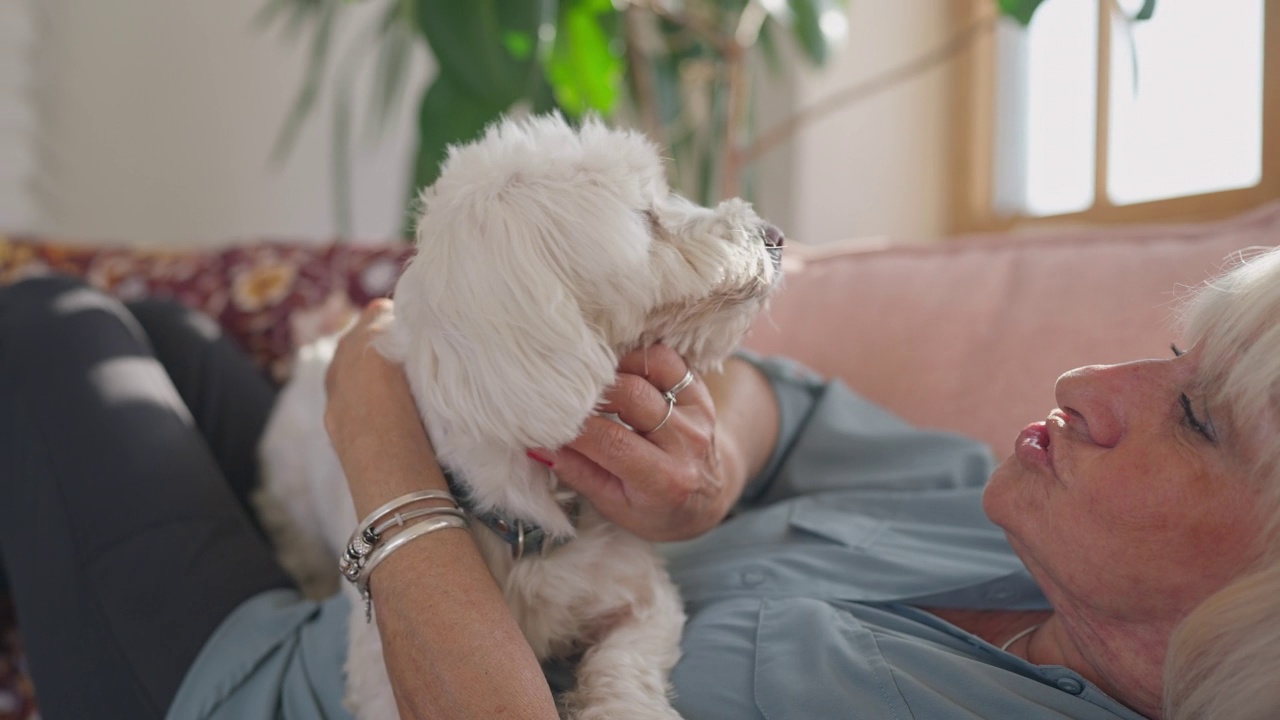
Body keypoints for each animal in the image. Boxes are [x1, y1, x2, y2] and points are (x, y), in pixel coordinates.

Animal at [256, 114, 783, 712]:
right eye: (643, 215)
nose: (774, 235)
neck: (528, 523)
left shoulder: (643, 598)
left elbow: (624, 665)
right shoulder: (379, 678)